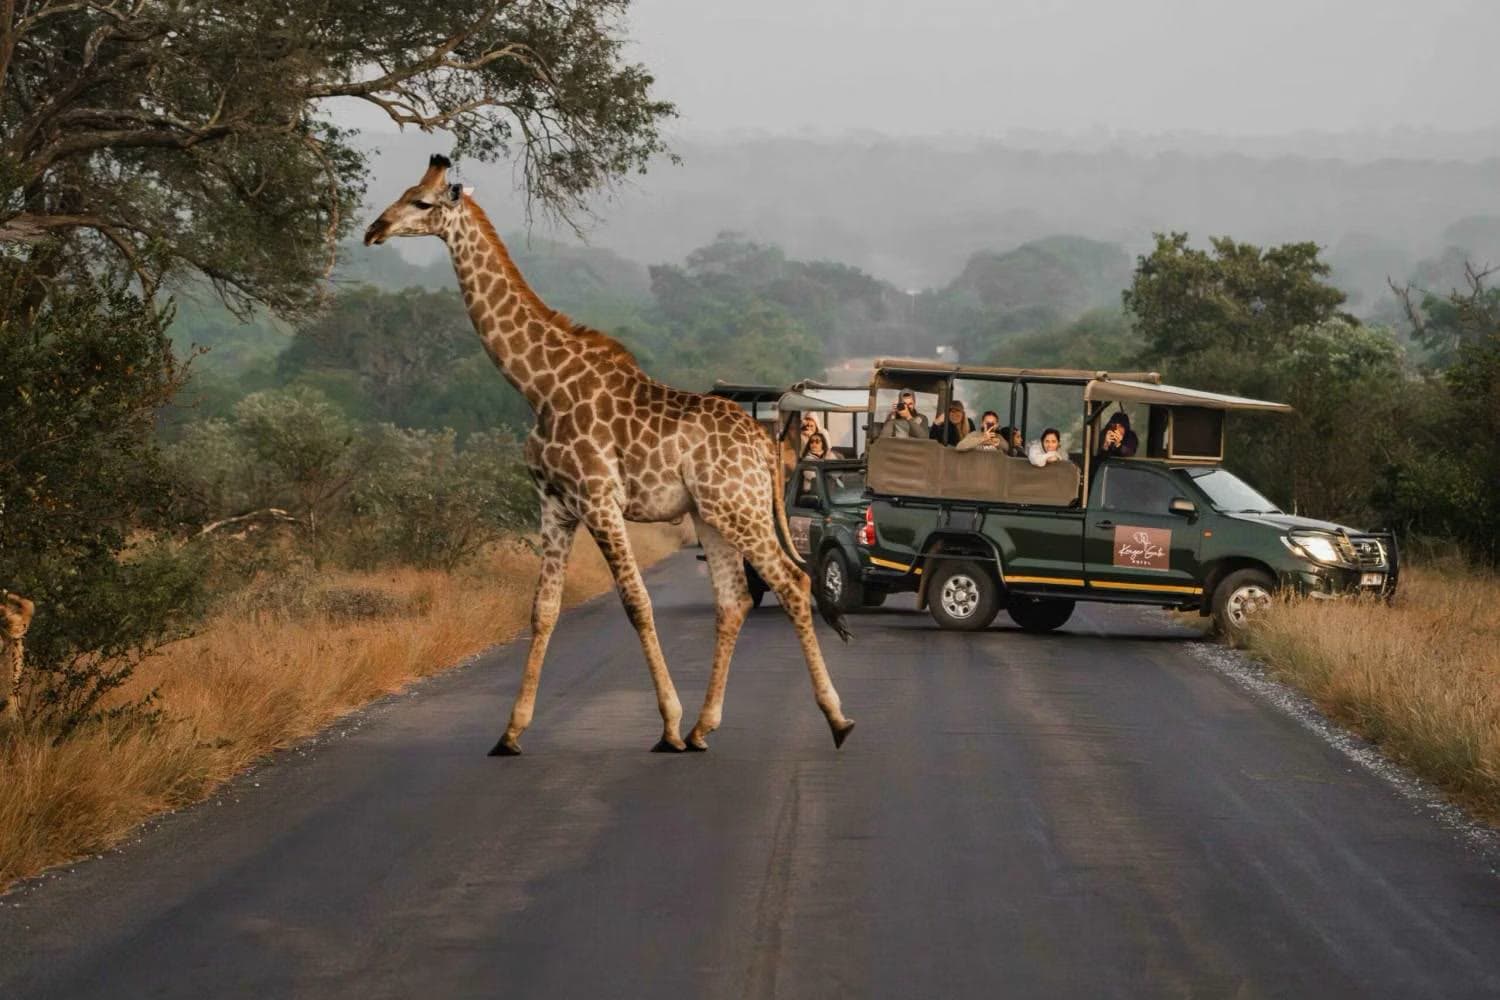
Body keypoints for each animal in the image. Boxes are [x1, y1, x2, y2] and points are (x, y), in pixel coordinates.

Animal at [364, 155, 855, 754]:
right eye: (406, 192)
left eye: (422, 202)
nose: (374, 230)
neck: (538, 386)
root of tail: (765, 446)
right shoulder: (554, 503)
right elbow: (543, 609)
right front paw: (510, 732)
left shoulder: (599, 500)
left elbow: (636, 603)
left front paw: (666, 725)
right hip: (710, 515)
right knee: (734, 600)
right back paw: (704, 727)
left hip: (741, 511)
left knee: (792, 583)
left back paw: (835, 720)